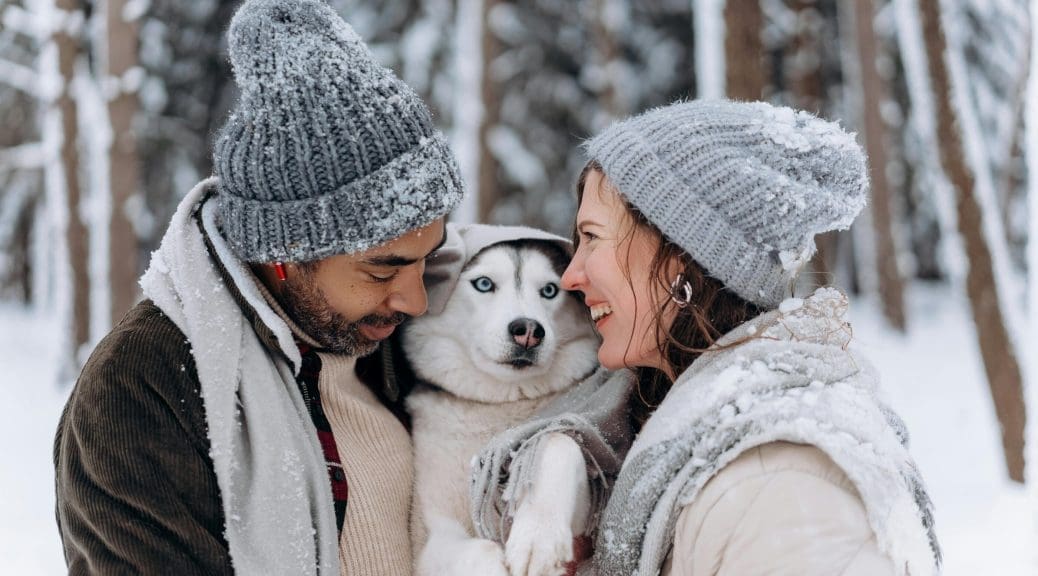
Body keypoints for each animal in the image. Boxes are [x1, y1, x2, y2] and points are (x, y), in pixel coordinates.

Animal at [404, 224, 602, 576]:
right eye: (484, 284)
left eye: (549, 290)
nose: (528, 330)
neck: (503, 404)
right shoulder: (429, 541)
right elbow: (478, 549)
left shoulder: (585, 525)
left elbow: (554, 441)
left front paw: (539, 537)